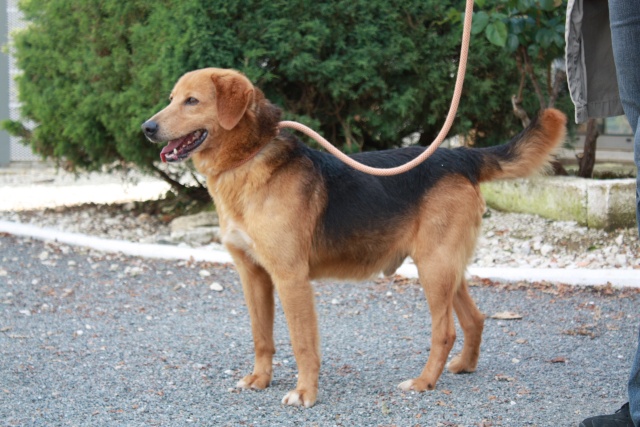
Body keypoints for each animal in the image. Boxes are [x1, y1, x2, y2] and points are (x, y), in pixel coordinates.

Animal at [142, 67, 568, 408]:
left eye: (192, 101)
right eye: (171, 99)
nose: (146, 128)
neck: (249, 160)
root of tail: (461, 155)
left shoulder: (291, 278)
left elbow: (302, 343)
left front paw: (305, 393)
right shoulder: (253, 275)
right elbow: (262, 336)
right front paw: (260, 379)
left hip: (433, 268)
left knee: (445, 331)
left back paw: (424, 382)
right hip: (446, 268)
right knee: (475, 319)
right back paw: (462, 366)